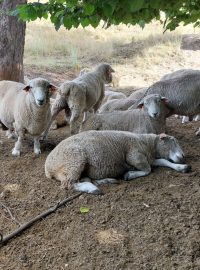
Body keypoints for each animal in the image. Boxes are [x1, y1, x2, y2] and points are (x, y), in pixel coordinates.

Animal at [45, 130, 191, 194]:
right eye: (173, 141)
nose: (183, 155)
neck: (148, 144)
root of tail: (47, 168)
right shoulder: (135, 156)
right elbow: (147, 170)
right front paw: (130, 174)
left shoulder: (148, 158)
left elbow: (163, 161)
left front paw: (182, 167)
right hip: (74, 161)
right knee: (69, 184)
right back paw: (93, 189)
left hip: (76, 166)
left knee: (85, 179)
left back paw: (107, 181)